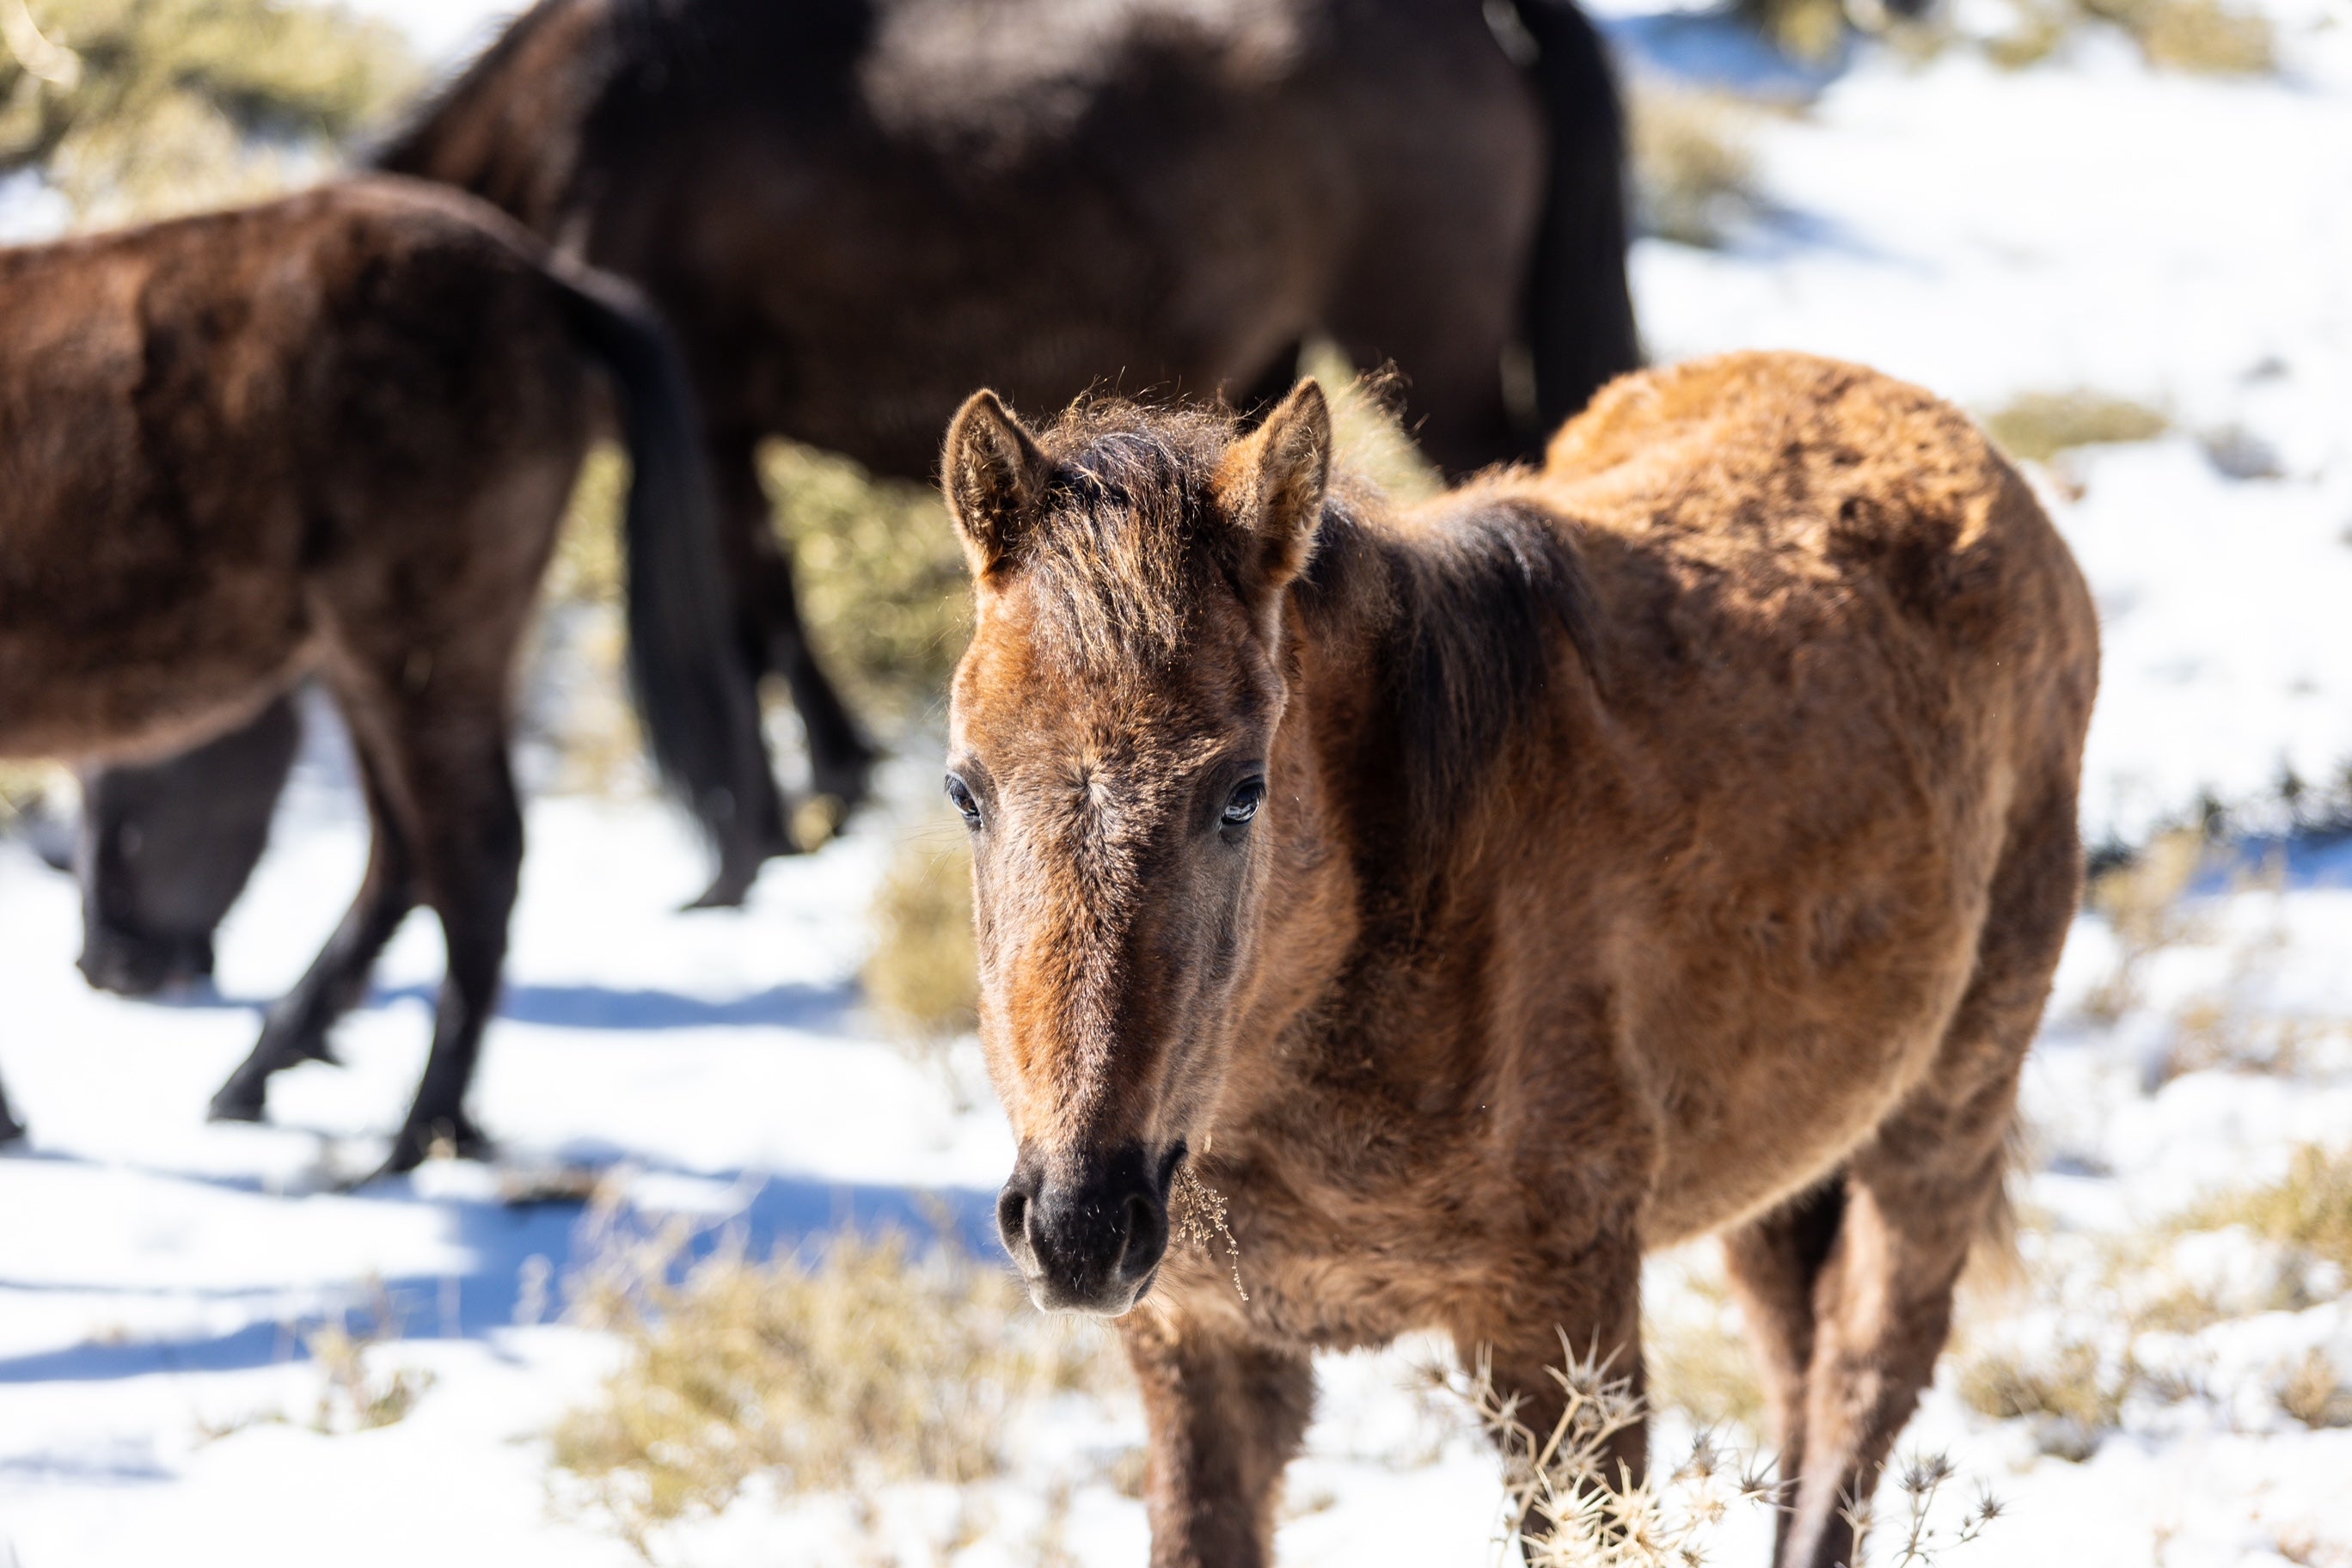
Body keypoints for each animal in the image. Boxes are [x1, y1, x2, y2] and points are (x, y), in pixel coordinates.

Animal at [0, 177, 762, 1170]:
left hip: (412, 649)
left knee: (473, 857)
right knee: (406, 857)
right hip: (372, 662)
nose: (110, 966)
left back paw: (411, 1137)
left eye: (133, 785)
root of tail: (546, 284)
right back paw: (262, 1081)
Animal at [59, 0, 1637, 992]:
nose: (111, 959)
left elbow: (742, 612)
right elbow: (769, 608)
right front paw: (824, 782)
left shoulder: (706, 415)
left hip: (1430, 345)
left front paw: (747, 830)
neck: (584, 123)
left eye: (140, 756)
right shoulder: (732, 427)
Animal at [935, 354, 2098, 1568]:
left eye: (1241, 793)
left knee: (1860, 1391)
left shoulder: (1558, 1330)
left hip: (1945, 1112)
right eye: (965, 790)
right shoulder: (1200, 1339)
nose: (1077, 1227)